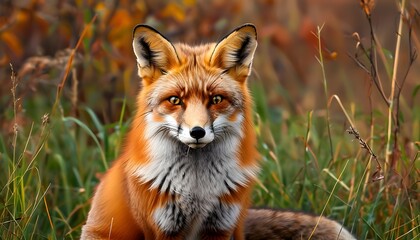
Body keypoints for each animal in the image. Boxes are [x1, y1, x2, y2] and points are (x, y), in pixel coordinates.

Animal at [79, 24, 354, 240]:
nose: (197, 132)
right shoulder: (163, 229)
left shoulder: (220, 226)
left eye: (216, 99)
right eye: (175, 100)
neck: (198, 190)